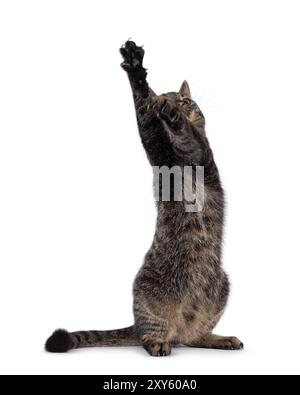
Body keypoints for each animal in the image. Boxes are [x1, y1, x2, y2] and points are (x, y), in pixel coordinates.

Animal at [46, 41, 244, 358]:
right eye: (177, 99)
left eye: (187, 100)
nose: (180, 105)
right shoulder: (157, 143)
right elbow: (145, 109)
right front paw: (139, 75)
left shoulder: (201, 154)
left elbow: (184, 134)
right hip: (150, 293)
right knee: (151, 334)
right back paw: (158, 341)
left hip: (221, 285)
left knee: (195, 335)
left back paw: (218, 338)